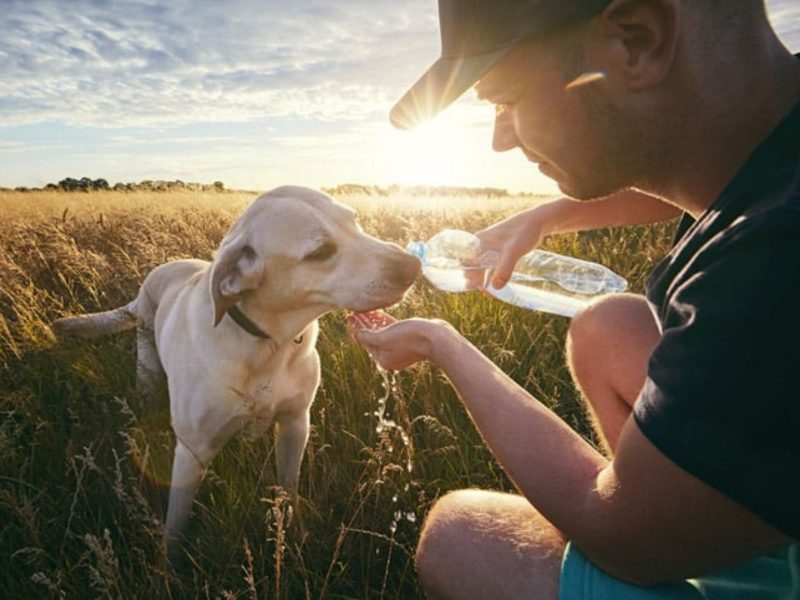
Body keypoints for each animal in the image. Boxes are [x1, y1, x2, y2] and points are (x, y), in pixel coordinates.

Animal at [53, 185, 422, 548]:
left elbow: (289, 488)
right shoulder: (192, 451)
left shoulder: (295, 423)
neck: (268, 343)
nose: (413, 266)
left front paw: (295, 535)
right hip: (147, 366)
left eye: (354, 221)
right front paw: (168, 563)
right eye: (320, 251)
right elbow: (176, 523)